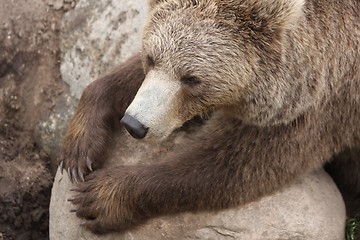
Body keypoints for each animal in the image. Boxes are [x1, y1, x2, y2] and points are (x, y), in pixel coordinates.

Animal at [59, 0, 360, 234]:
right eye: (151, 57)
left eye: (192, 79)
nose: (134, 124)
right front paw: (80, 149)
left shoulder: (320, 105)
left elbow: (238, 164)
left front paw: (100, 197)